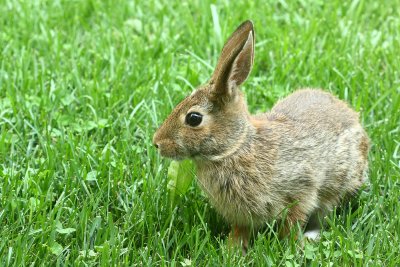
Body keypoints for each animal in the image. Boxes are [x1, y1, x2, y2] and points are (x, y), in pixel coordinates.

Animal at [152, 20, 368, 253]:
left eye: (193, 118)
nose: (157, 143)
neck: (235, 148)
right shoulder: (241, 215)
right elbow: (241, 230)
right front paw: (233, 250)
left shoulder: (301, 188)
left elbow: (293, 222)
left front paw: (292, 247)